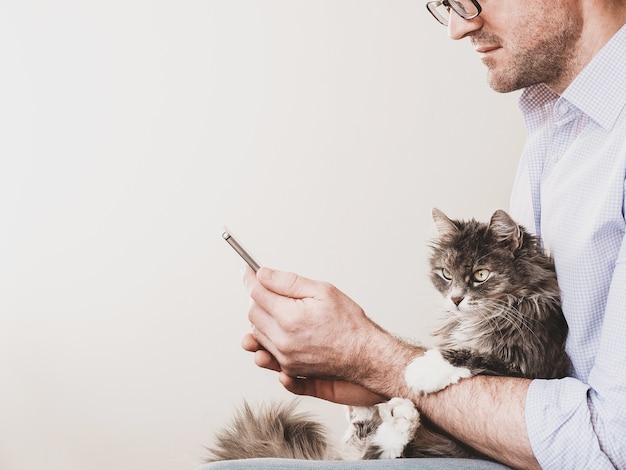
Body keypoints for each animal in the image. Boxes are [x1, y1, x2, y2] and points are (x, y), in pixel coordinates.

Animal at [206, 209, 572, 462]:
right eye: (445, 273)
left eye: (481, 275)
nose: (455, 299)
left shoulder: (532, 366)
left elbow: (473, 354)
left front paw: (421, 370)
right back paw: (367, 412)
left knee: (381, 450)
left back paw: (399, 416)